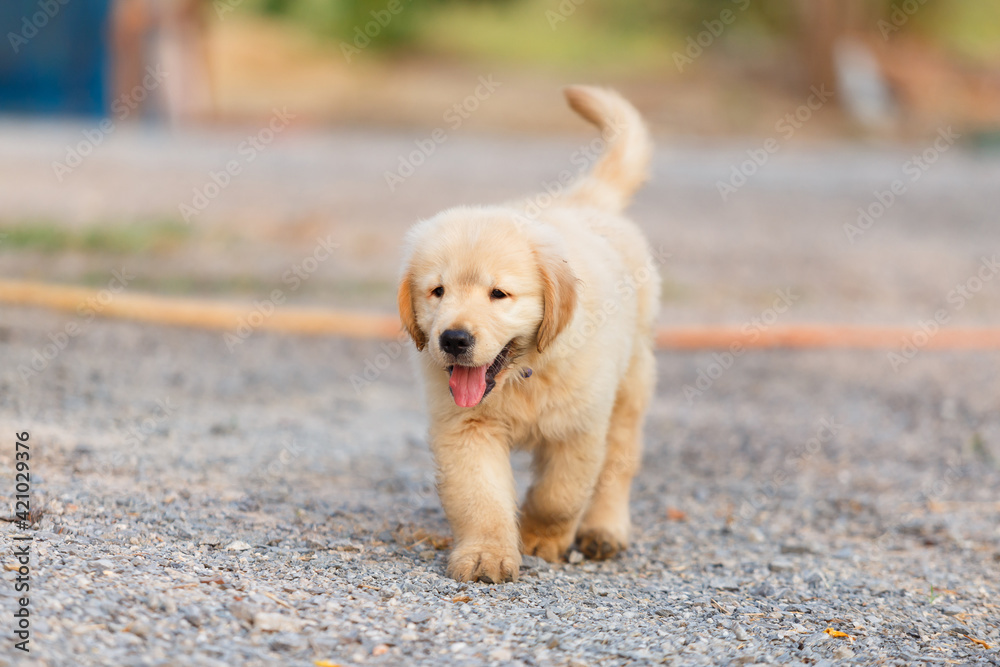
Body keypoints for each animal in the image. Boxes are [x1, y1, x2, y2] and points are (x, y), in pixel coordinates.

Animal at [394, 86, 660, 580]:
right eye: (437, 291)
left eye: (499, 294)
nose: (453, 340)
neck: (521, 374)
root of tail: (584, 201)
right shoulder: (466, 428)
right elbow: (480, 497)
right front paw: (486, 554)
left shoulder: (579, 425)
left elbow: (560, 494)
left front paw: (540, 536)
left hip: (632, 383)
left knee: (619, 462)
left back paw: (604, 529)